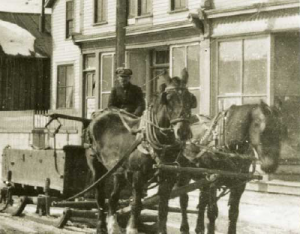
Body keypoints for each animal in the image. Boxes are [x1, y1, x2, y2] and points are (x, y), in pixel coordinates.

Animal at [85, 72, 196, 233]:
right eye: (168, 99)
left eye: (189, 98)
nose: (183, 132)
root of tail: (97, 117)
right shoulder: (139, 175)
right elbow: (136, 204)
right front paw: (132, 229)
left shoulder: (168, 177)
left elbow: (163, 207)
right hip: (97, 167)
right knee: (100, 196)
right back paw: (101, 227)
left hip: (119, 171)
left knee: (113, 199)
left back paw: (114, 227)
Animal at [177, 102, 288, 234]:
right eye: (264, 129)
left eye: (281, 130)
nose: (271, 165)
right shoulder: (212, 181)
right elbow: (212, 213)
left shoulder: (238, 185)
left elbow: (234, 214)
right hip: (184, 174)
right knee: (184, 199)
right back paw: (185, 227)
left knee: (202, 201)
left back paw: (199, 227)